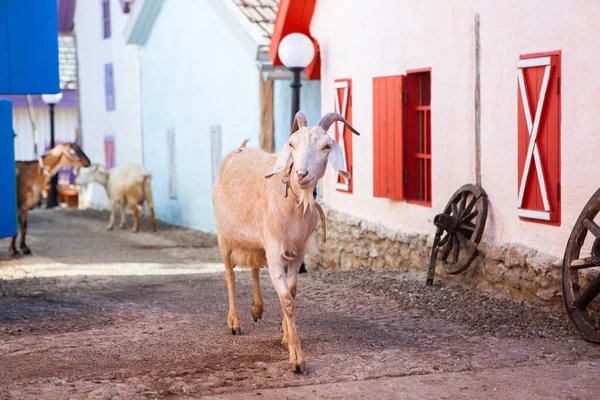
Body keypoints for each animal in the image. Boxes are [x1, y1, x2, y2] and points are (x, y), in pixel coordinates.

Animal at [212, 110, 358, 372]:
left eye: (326, 146)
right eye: (292, 144)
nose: (301, 174)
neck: (293, 203)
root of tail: (239, 150)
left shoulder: (297, 251)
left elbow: (292, 291)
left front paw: (285, 333)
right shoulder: (274, 250)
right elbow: (287, 300)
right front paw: (297, 357)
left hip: (256, 243)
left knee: (254, 269)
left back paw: (257, 309)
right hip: (223, 237)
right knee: (230, 277)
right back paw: (234, 322)